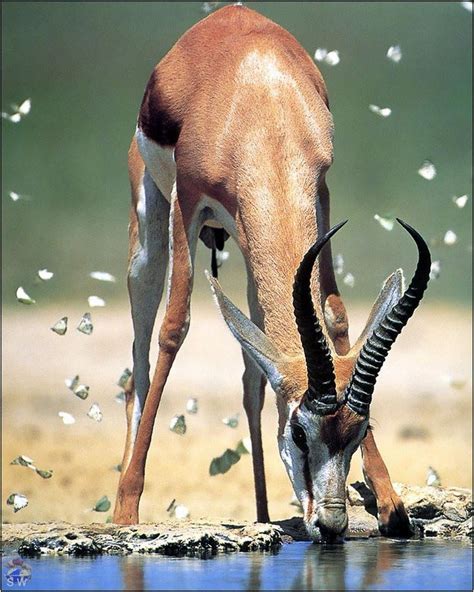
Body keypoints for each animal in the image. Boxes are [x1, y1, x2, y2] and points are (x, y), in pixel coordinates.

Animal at [114, 4, 430, 544]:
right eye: (300, 433)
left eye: (358, 432)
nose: (330, 523)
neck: (261, 105)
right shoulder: (188, 200)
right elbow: (176, 325)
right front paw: (128, 511)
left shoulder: (320, 196)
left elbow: (335, 316)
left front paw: (391, 506)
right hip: (149, 237)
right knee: (140, 362)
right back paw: (122, 505)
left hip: (248, 253)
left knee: (250, 376)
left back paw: (261, 516)